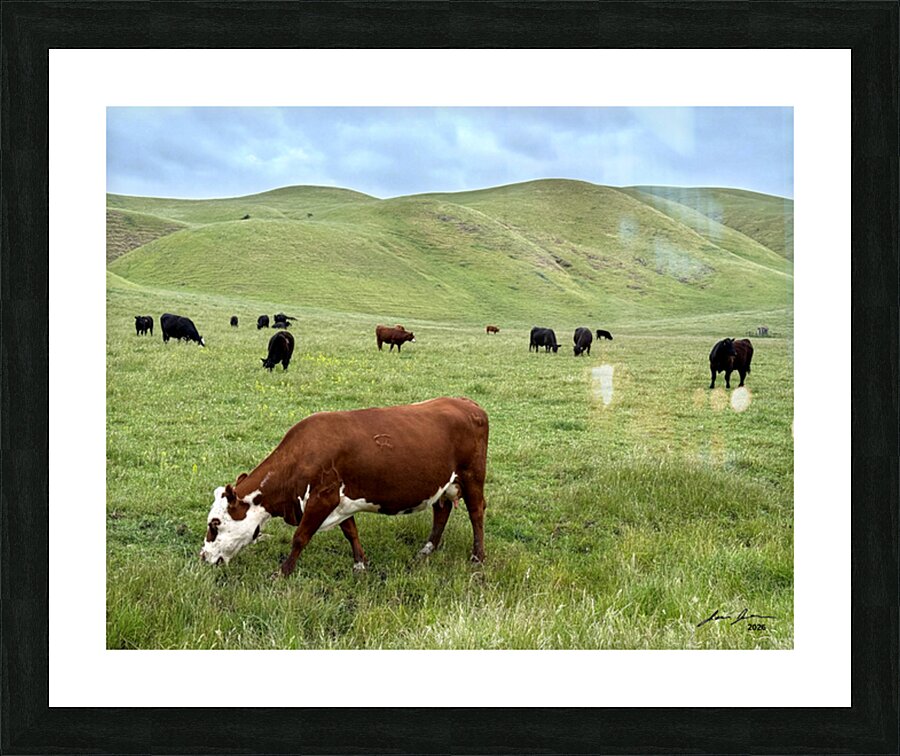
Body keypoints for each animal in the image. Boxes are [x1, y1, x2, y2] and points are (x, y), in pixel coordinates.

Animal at [199, 397, 489, 576]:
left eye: (215, 523)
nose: (203, 557)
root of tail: (467, 403)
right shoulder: (338, 500)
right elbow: (351, 531)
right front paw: (361, 564)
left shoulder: (322, 498)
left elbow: (300, 537)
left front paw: (282, 573)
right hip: (444, 483)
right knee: (441, 511)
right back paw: (427, 549)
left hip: (472, 477)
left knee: (476, 513)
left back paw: (478, 557)